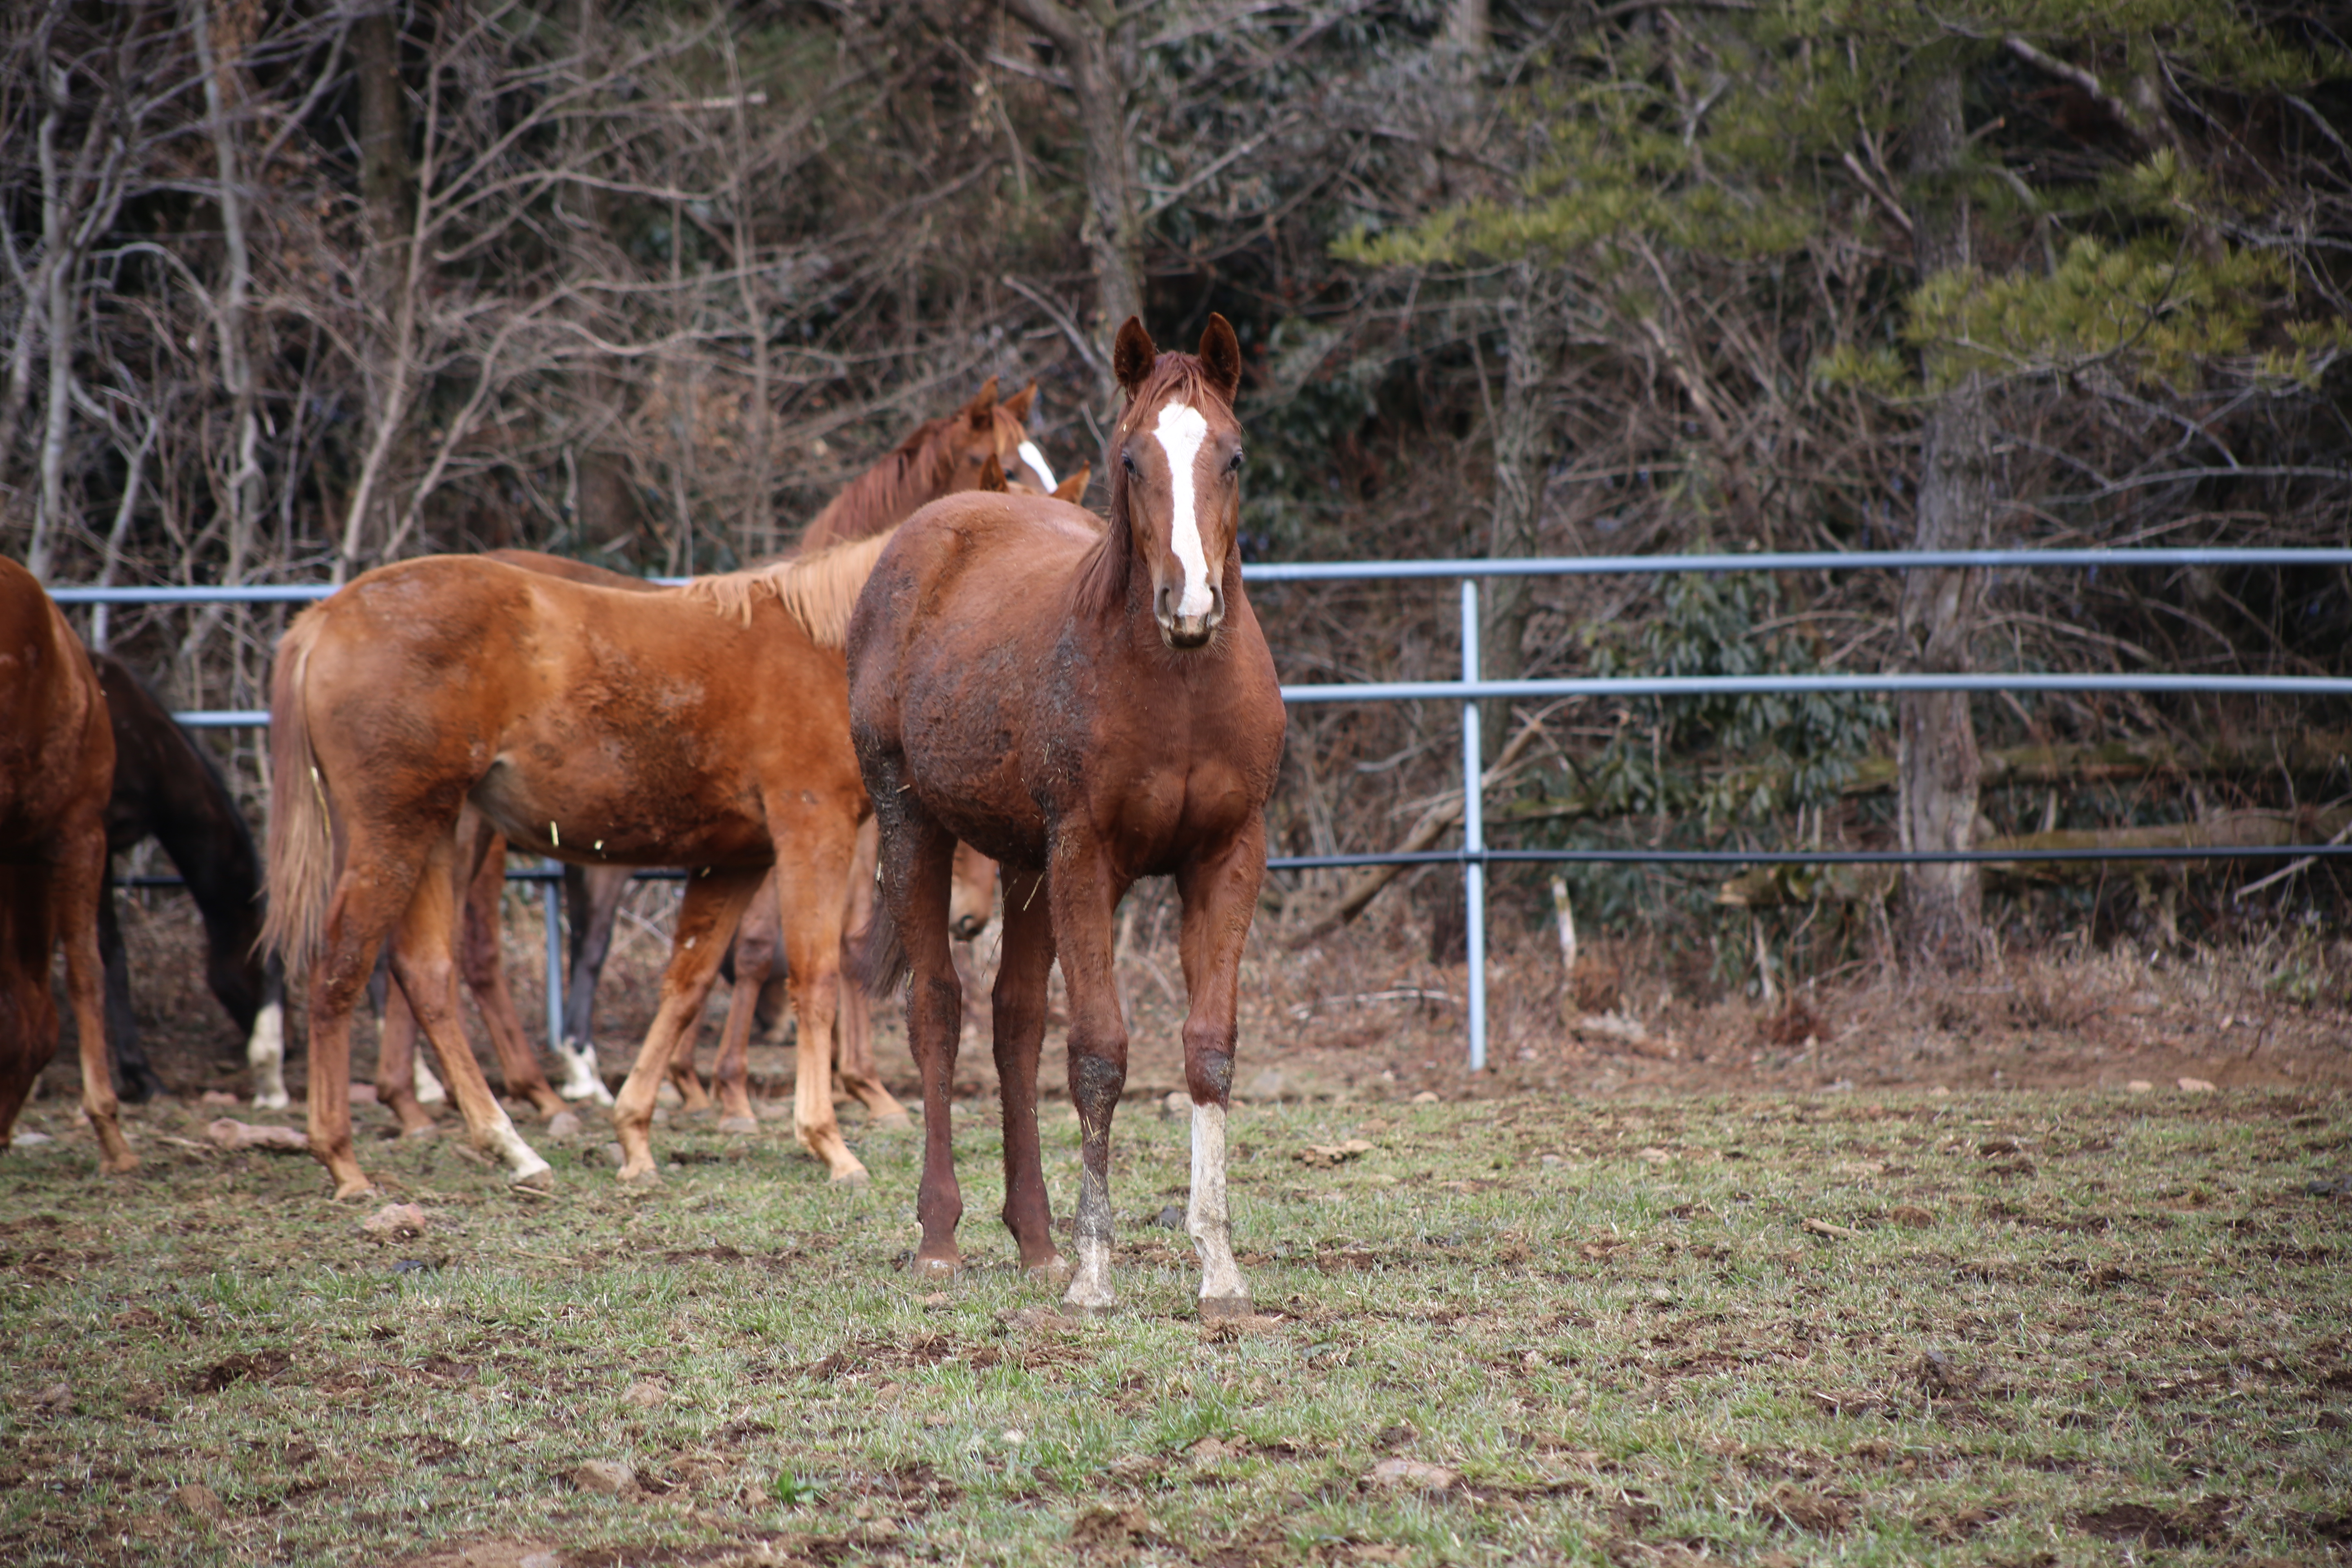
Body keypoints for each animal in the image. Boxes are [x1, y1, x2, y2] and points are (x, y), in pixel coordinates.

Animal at [267, 541, 898, 1203]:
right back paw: (344, 1161)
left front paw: (635, 1136)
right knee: (341, 966)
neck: (825, 640)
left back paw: (512, 1148)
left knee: (427, 973)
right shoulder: (812, 827)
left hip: (440, 834)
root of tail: (324, 618)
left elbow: (687, 985)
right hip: (393, 833)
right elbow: (815, 978)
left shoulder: (735, 859)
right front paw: (829, 1143)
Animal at [851, 322, 1289, 1326]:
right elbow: (1098, 1055)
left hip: (1025, 863)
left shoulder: (1228, 856)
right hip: (912, 821)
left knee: (1015, 1021)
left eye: (1233, 455)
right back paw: (942, 1241)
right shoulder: (1089, 857)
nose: (1190, 603)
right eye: (1131, 459)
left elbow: (1209, 1053)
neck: (1180, 684)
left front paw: (1218, 1269)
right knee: (939, 1009)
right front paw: (1097, 1273)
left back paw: (1036, 1242)